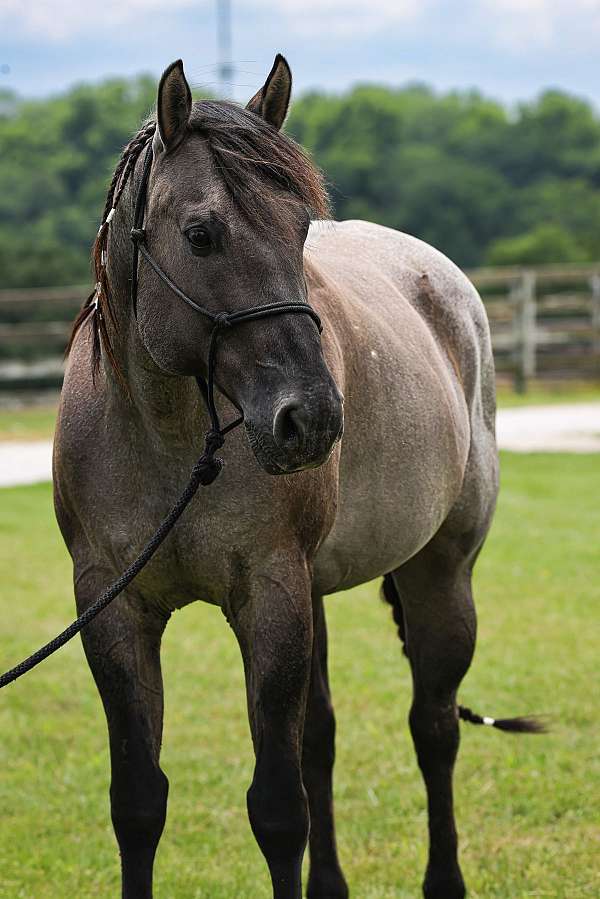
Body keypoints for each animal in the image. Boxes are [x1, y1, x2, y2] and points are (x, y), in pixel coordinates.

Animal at [54, 55, 541, 899]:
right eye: (202, 234)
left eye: (301, 229)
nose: (310, 416)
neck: (168, 439)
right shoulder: (113, 608)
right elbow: (140, 802)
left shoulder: (270, 594)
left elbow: (279, 808)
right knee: (323, 738)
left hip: (439, 573)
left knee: (433, 727)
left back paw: (443, 877)